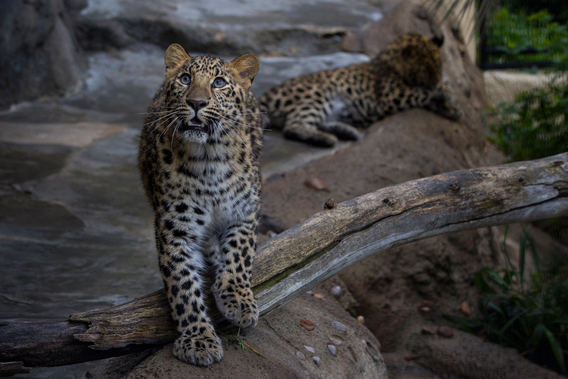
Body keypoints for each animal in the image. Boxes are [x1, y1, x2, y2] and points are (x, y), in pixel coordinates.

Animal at [139, 43, 262, 366]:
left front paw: (238, 301)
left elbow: (240, 256)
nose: (196, 101)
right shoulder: (175, 230)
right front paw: (197, 339)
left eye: (218, 82)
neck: (209, 160)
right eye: (185, 78)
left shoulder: (244, 213)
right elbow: (182, 285)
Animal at [260, 32, 460, 147]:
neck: (390, 62)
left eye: (440, 65)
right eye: (426, 69)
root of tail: (268, 93)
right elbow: (423, 92)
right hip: (316, 95)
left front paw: (452, 109)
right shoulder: (391, 96)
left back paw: (348, 132)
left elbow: (430, 97)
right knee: (293, 127)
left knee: (318, 122)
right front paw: (446, 91)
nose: (436, 80)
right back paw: (326, 139)